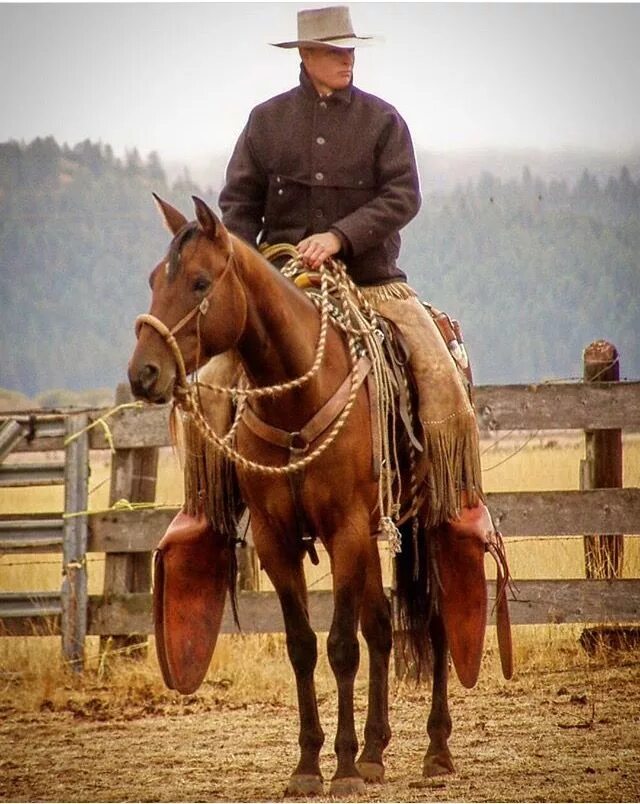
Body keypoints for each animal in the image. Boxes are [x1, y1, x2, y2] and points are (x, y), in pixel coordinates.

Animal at [127, 195, 512, 796]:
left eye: (198, 282)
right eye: (152, 279)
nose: (144, 373)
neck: (297, 397)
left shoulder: (345, 529)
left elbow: (342, 647)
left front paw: (345, 768)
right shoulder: (277, 539)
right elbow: (305, 646)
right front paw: (310, 765)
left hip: (424, 523)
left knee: (436, 623)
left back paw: (435, 750)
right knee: (381, 627)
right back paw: (377, 751)